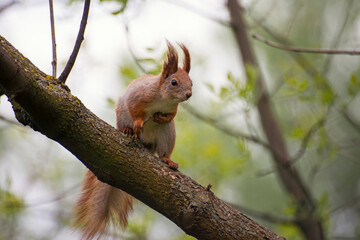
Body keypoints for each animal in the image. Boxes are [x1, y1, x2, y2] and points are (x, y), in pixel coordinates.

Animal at [72, 42, 191, 239]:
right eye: (174, 82)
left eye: (191, 82)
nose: (189, 94)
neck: (164, 99)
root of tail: (147, 144)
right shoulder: (139, 95)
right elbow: (134, 109)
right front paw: (136, 124)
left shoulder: (172, 109)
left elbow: (171, 115)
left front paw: (160, 117)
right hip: (121, 116)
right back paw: (128, 131)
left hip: (167, 134)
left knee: (163, 149)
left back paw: (167, 160)